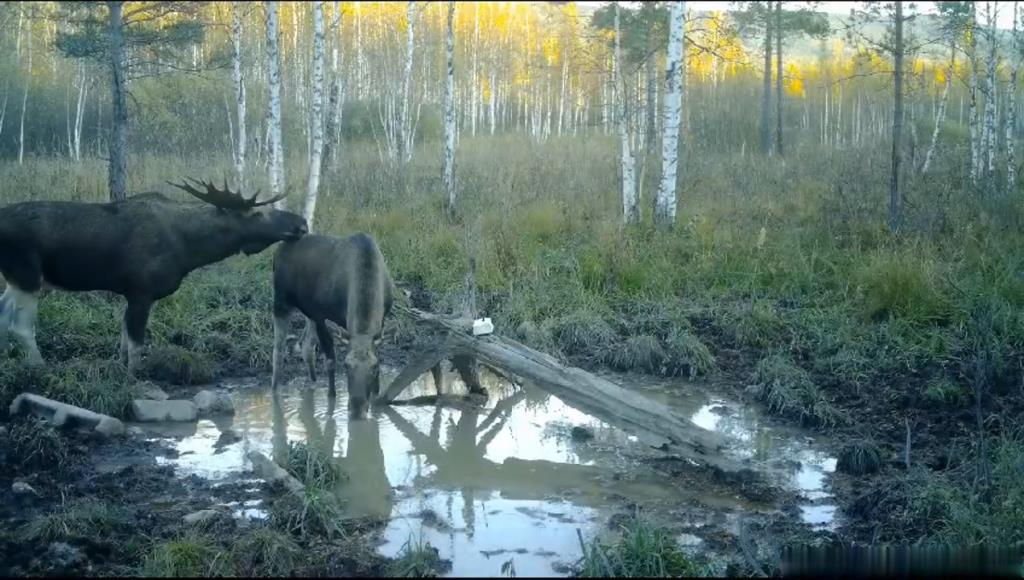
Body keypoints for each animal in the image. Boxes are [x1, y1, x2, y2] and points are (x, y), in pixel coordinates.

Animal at [0, 179, 305, 375]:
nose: (301, 223)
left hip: (16, 278)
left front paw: (121, 368)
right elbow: (136, 344)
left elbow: (124, 341)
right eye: (258, 213)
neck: (190, 250)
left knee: (4, 316)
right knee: (20, 326)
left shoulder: (130, 293)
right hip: (28, 274)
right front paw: (135, 378)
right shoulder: (141, 291)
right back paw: (39, 367)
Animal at [272, 230, 395, 418]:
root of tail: (280, 248)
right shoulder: (321, 316)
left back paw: (313, 382)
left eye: (374, 367)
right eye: (346, 365)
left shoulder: (381, 319)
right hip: (281, 302)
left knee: (306, 345)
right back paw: (275, 390)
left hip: (308, 312)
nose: (357, 408)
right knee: (278, 350)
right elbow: (330, 360)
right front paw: (331, 399)